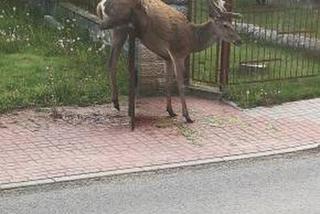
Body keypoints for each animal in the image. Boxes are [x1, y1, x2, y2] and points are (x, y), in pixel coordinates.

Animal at [96, 0, 241, 123]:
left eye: (233, 24)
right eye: (225, 25)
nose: (239, 40)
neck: (192, 41)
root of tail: (101, 5)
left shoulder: (167, 58)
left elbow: (167, 81)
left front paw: (170, 111)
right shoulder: (177, 53)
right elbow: (180, 84)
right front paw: (187, 116)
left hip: (118, 31)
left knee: (111, 61)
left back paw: (117, 103)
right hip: (120, 25)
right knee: (110, 50)